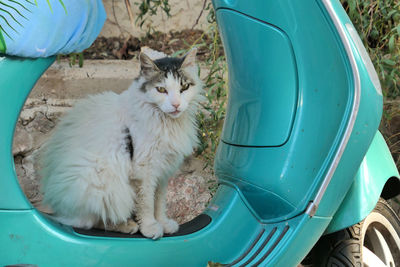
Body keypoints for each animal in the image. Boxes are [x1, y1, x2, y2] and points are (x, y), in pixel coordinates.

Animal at [38, 48, 203, 241]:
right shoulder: (144, 172)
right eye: (161, 89)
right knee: (94, 221)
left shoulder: (163, 173)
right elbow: (147, 204)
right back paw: (128, 225)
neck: (166, 122)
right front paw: (150, 228)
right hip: (99, 181)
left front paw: (164, 223)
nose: (176, 104)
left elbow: (160, 203)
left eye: (184, 88)